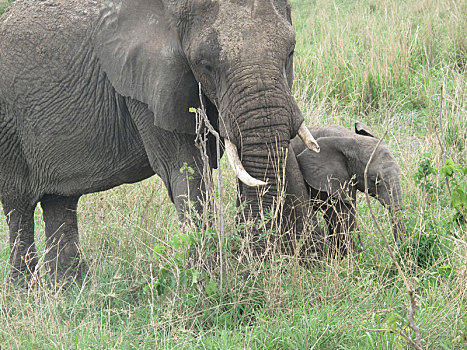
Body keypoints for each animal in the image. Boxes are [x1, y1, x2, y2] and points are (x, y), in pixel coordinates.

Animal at [0, 0, 318, 284]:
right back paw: (26, 291)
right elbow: (184, 170)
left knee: (60, 201)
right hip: (8, 128)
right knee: (18, 207)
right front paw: (207, 281)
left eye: (290, 51)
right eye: (206, 66)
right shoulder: (146, 85)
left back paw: (69, 291)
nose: (251, 266)